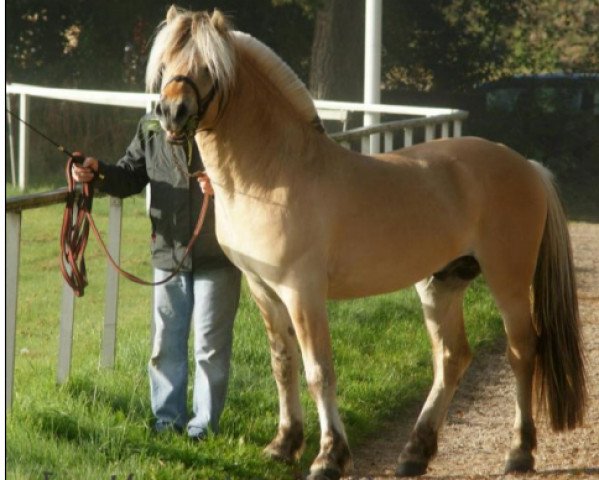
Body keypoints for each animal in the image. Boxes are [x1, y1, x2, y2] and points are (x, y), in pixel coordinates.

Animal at [145, 5, 584, 478]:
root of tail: (526, 165)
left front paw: (328, 456)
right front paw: (284, 445)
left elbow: (319, 370)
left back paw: (519, 451)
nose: (172, 112)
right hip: (442, 283)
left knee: (522, 351)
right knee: (451, 358)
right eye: (166, 63)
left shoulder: (303, 293)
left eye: (210, 66)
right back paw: (415, 452)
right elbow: (283, 363)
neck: (275, 172)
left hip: (508, 281)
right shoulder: (263, 289)